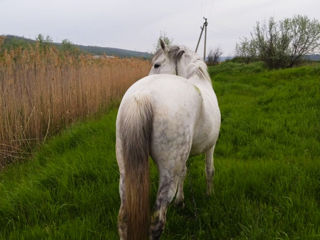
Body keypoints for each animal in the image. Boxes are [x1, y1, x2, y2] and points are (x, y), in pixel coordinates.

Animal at [116, 40, 221, 239]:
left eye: (157, 65)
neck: (197, 78)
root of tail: (143, 95)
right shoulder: (211, 146)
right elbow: (209, 171)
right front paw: (209, 194)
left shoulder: (184, 157)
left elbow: (184, 172)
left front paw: (180, 201)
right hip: (167, 172)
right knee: (157, 221)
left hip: (125, 171)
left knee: (123, 219)